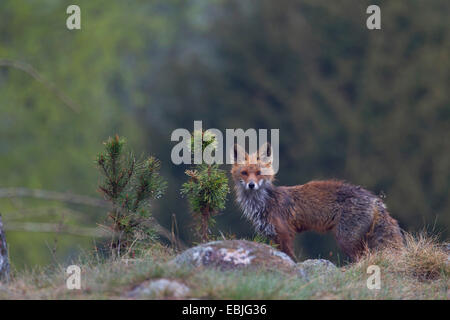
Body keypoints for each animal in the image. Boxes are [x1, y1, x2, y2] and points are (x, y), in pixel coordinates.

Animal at [230, 142, 402, 260]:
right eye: (244, 173)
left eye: (259, 173)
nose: (251, 185)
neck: (264, 203)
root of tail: (373, 199)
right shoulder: (273, 236)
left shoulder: (285, 234)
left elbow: (291, 258)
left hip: (346, 239)